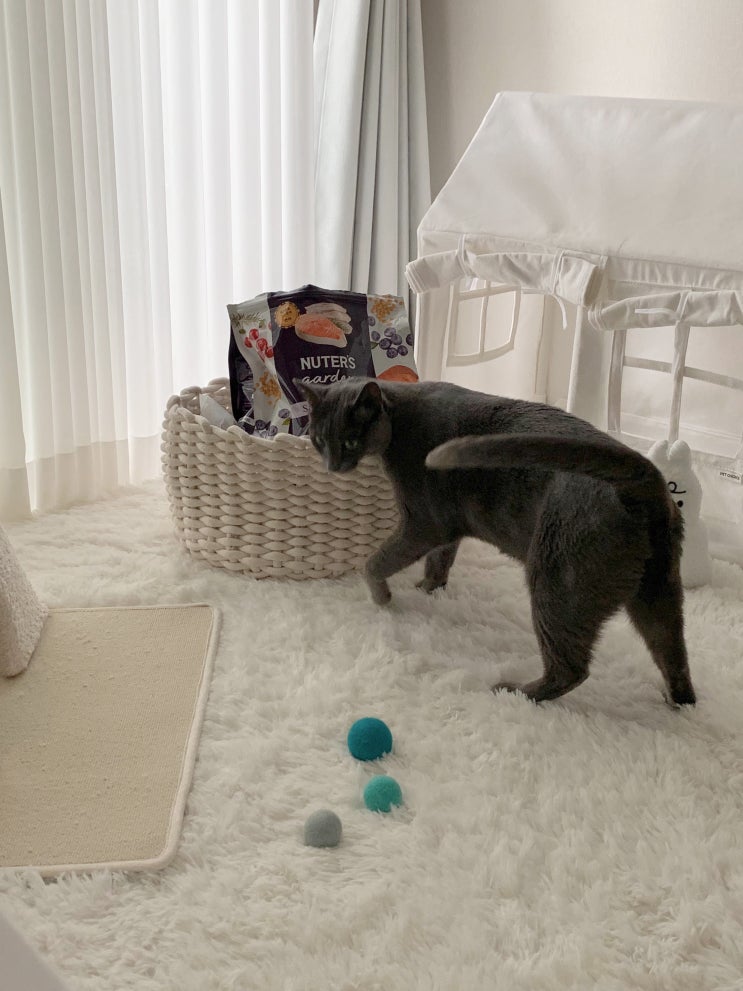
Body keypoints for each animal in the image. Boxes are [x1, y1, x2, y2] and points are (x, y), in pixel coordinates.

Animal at [294, 377, 696, 707]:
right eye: (319, 440)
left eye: (349, 440)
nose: (331, 466)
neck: (399, 420)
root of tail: (643, 481)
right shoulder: (447, 529)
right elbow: (439, 560)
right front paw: (428, 588)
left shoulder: (423, 522)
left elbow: (375, 562)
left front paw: (383, 597)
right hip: (658, 592)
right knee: (673, 653)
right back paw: (675, 700)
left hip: (555, 580)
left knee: (571, 668)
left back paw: (515, 691)